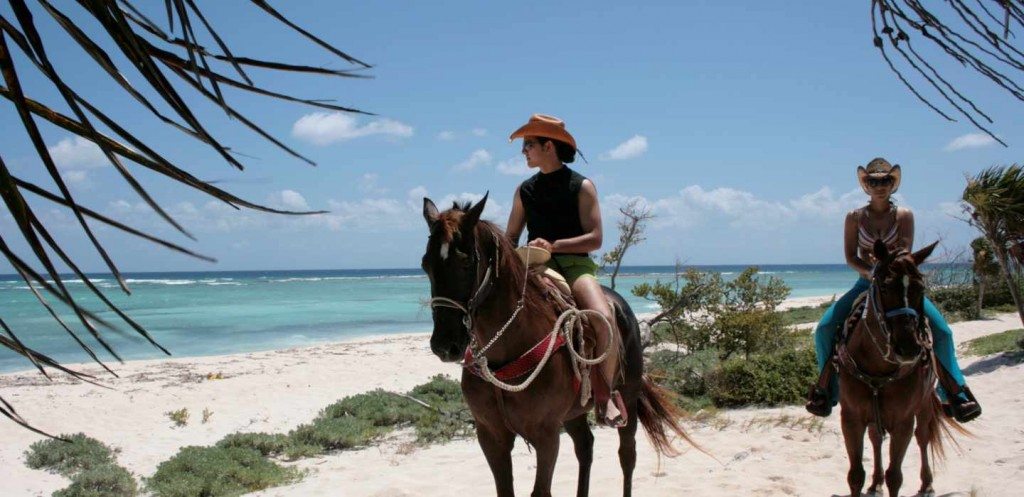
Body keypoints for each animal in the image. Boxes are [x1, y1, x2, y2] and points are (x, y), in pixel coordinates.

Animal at [419, 193, 692, 495]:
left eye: (466, 263)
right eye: (425, 264)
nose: (444, 345)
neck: (504, 356)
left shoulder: (546, 435)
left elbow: (541, 490)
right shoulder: (490, 435)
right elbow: (505, 489)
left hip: (628, 400)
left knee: (627, 455)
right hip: (573, 414)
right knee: (585, 447)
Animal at [835, 238, 962, 493]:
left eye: (921, 288)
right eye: (884, 288)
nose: (908, 348)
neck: (878, 366)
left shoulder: (903, 422)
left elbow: (895, 476)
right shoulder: (851, 419)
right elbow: (855, 475)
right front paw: (870, 481)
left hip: (924, 404)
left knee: (923, 437)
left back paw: (927, 484)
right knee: (875, 439)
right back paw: (876, 483)